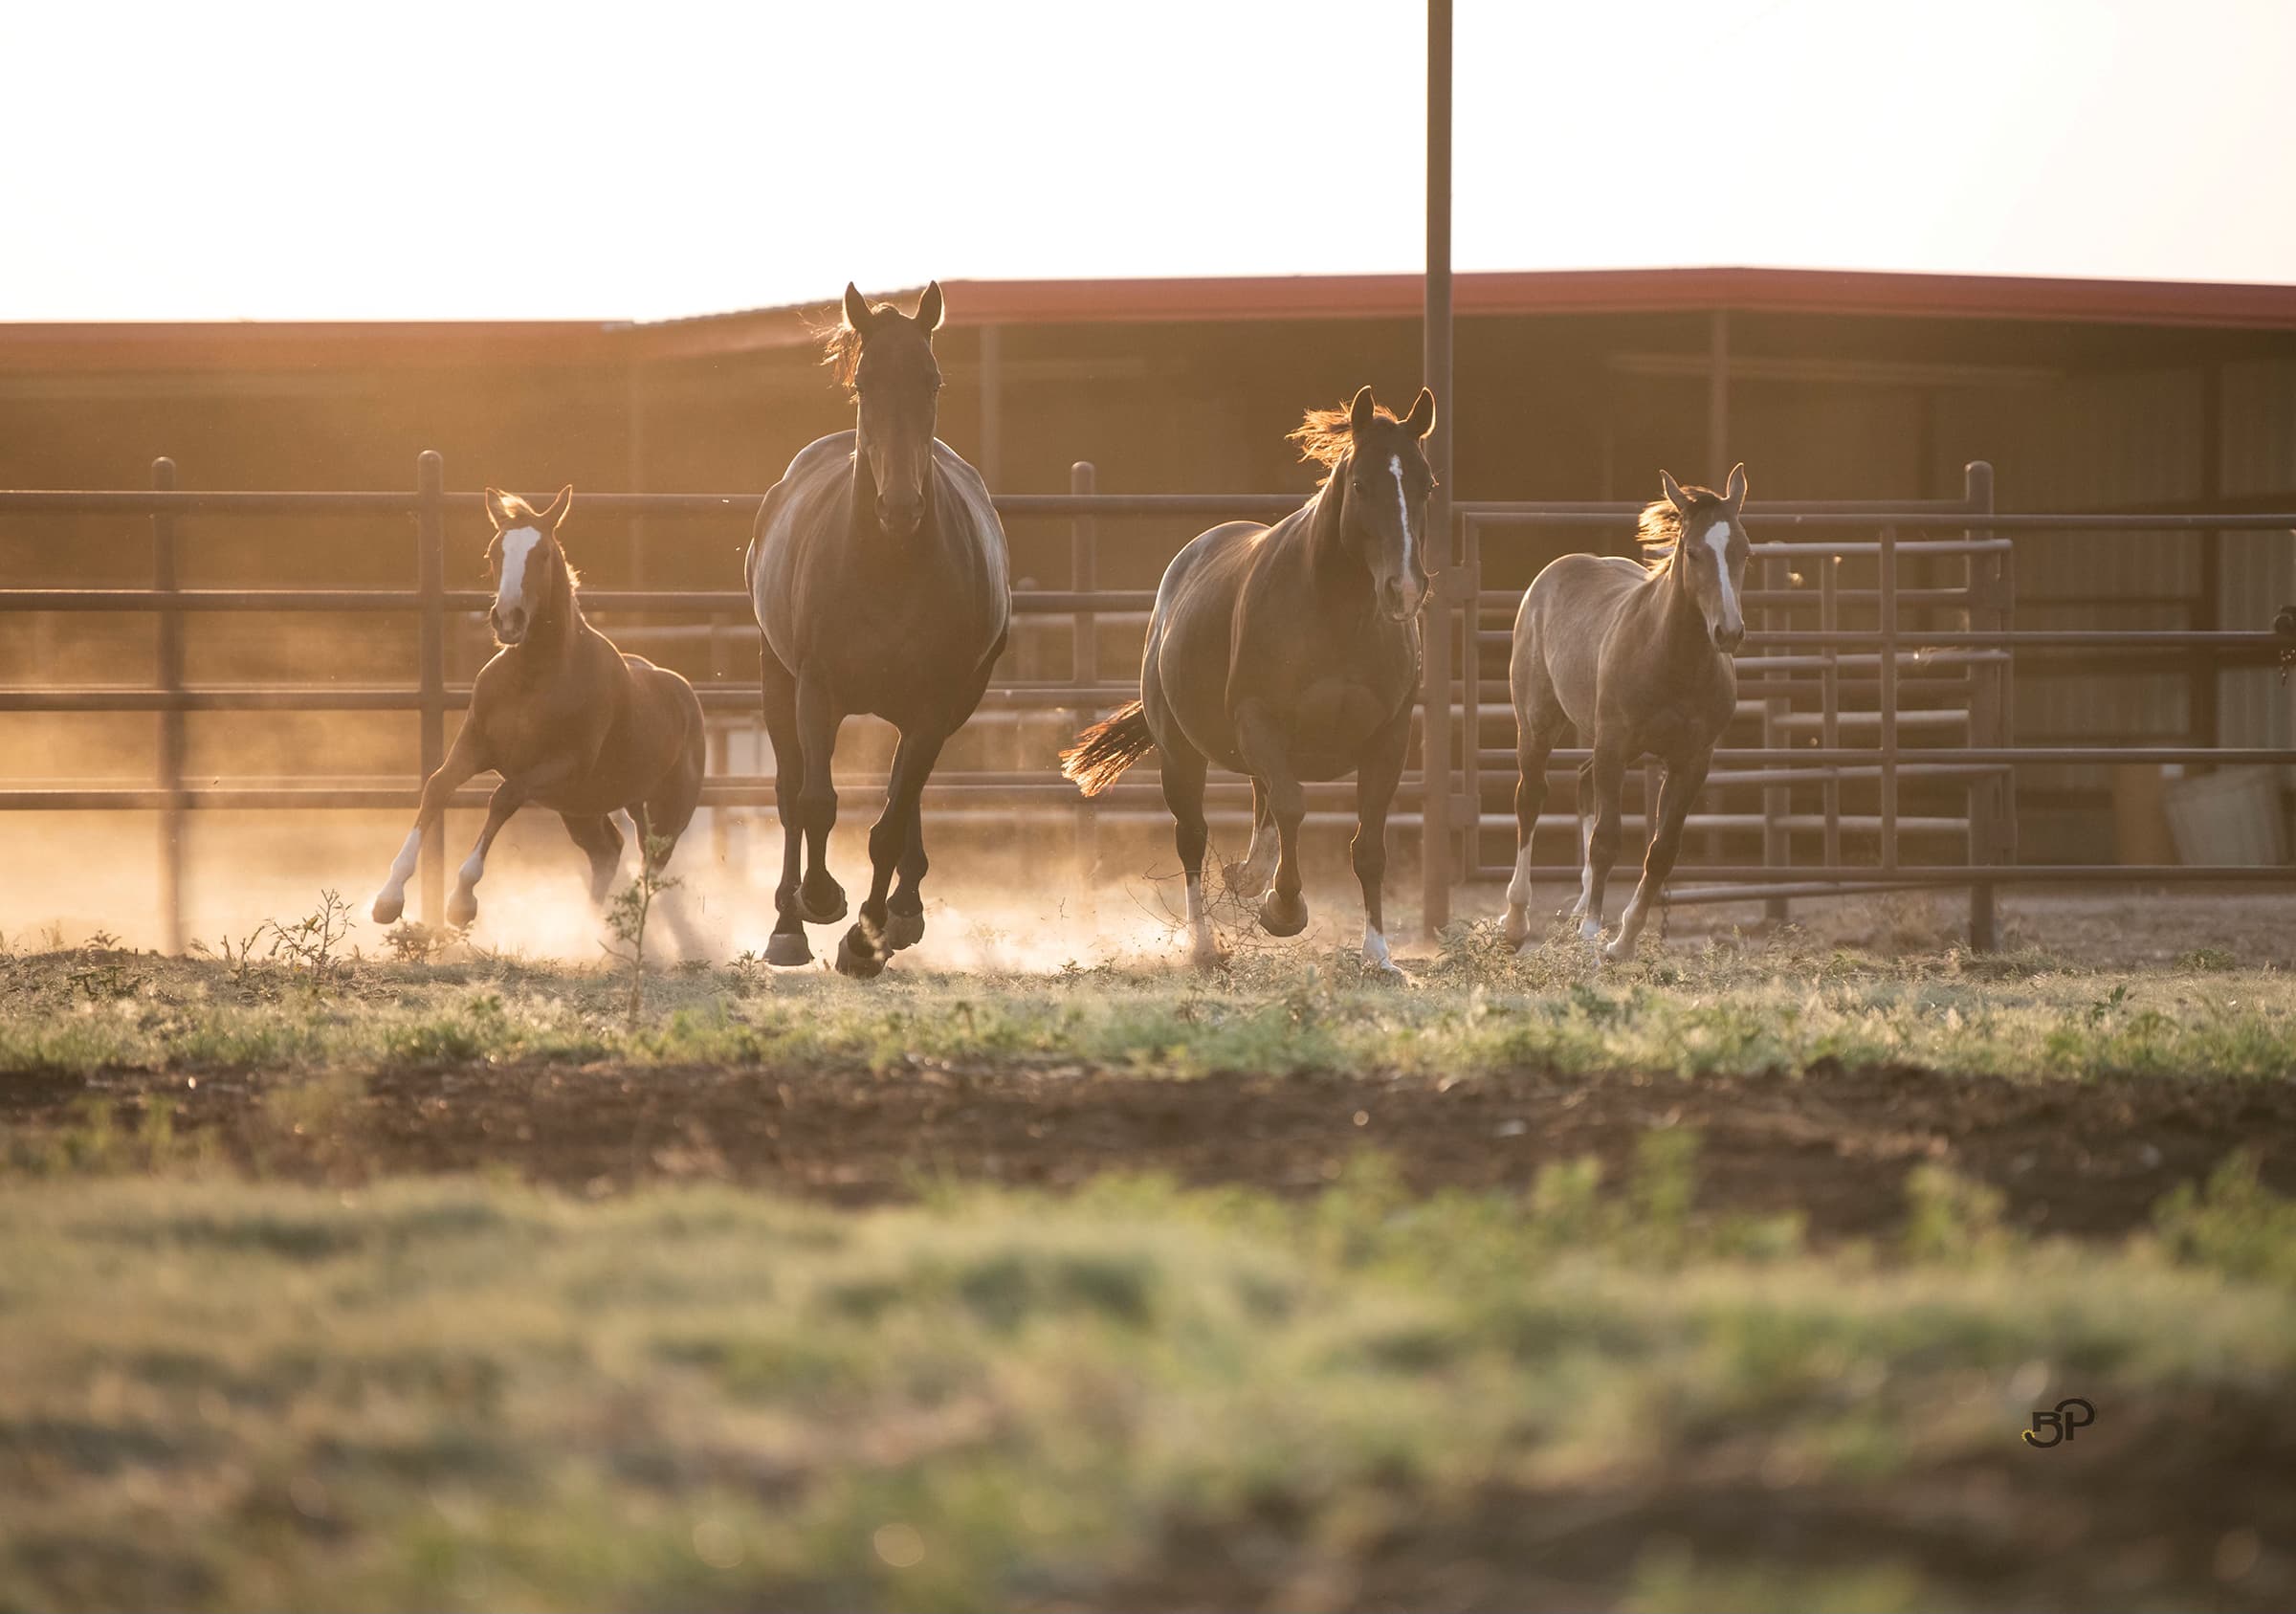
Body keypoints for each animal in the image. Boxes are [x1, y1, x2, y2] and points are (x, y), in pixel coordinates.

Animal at [370, 486, 706, 933]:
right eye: (494, 552)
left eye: (544, 553)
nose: (508, 619)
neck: (533, 679)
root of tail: (686, 696)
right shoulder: (475, 745)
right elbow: (437, 786)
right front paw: (388, 898)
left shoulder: (557, 765)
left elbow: (502, 797)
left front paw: (462, 902)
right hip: (582, 808)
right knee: (607, 851)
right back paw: (591, 930)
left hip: (663, 814)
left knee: (650, 866)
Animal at [746, 282, 1011, 978]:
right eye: (865, 382)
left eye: (933, 380)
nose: (899, 506)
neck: (887, 567)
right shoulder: (815, 689)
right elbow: (814, 801)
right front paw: (818, 901)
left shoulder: (935, 703)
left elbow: (889, 822)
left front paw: (864, 939)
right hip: (776, 678)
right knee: (790, 792)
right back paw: (787, 925)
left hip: (942, 707)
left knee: (905, 794)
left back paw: (902, 911)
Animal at [1061, 385, 1435, 977]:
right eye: (1360, 484)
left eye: (1427, 484)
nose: (1404, 588)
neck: (1338, 615)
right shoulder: (1259, 721)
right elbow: (1293, 807)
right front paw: (1283, 909)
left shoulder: (1389, 739)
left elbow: (1368, 844)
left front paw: (1379, 956)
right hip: (1181, 754)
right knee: (1195, 836)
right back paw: (1205, 945)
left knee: (1262, 805)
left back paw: (1249, 878)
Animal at [1500, 465, 1750, 963]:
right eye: (1693, 552)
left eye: (1744, 551)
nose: (1728, 632)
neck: (1670, 659)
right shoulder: (1614, 747)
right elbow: (1607, 840)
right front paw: (1592, 935)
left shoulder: (1691, 762)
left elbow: (1662, 851)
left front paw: (1624, 940)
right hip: (1538, 724)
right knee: (1531, 798)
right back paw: (1516, 922)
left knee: (1581, 781)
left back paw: (1578, 904)